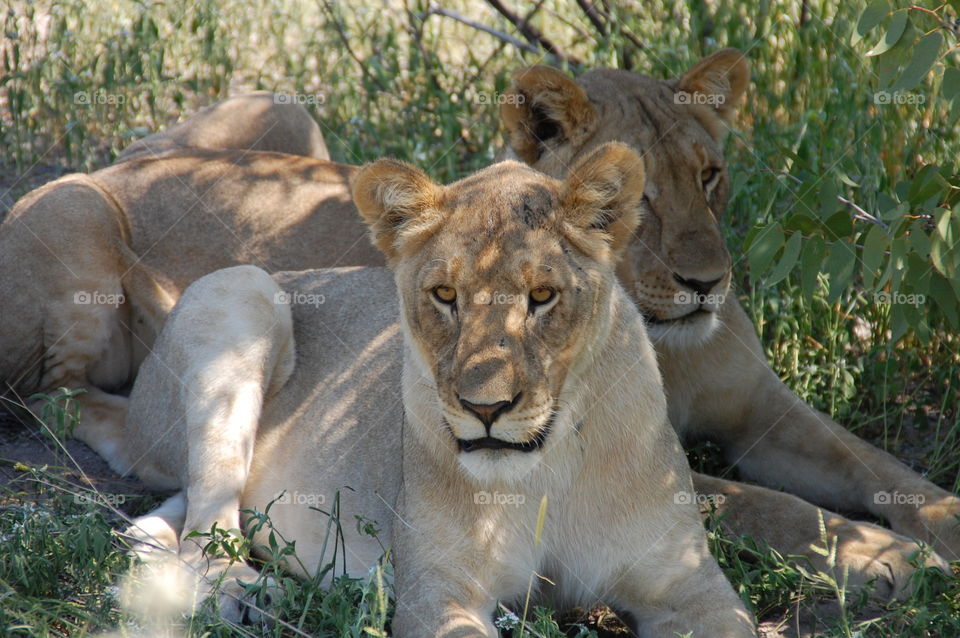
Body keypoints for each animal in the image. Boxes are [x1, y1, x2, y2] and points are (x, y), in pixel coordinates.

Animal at [96, 144, 756, 636]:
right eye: (445, 295)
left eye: (543, 297)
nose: (486, 409)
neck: (545, 469)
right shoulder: (437, 588)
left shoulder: (688, 581)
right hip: (241, 289)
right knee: (208, 525)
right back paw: (250, 593)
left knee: (170, 517)